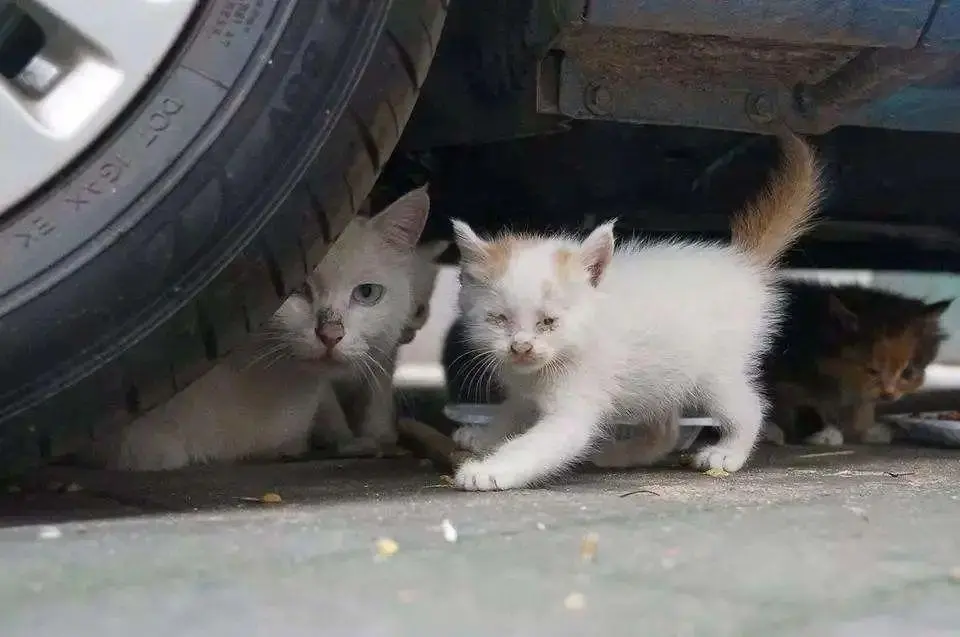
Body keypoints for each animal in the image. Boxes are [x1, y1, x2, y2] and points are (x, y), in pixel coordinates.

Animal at [448, 134, 816, 490]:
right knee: (667, 431)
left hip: (715, 372)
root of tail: (741, 263)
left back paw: (727, 453)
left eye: (549, 322)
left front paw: (488, 471)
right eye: (499, 319)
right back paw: (621, 455)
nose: (521, 348)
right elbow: (512, 410)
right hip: (663, 375)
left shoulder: (575, 403)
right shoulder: (526, 388)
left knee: (750, 407)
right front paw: (483, 435)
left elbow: (534, 445)